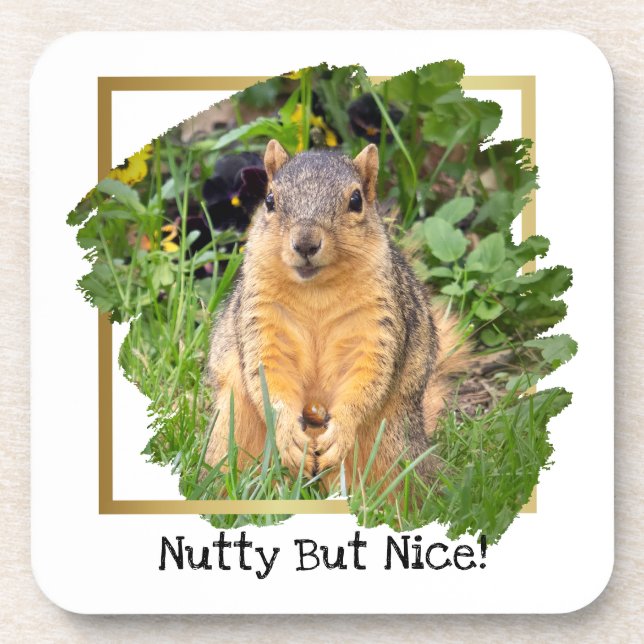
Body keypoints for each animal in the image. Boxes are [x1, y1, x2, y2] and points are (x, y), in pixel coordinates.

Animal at [204, 139, 469, 488]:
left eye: (356, 201)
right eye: (270, 200)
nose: (305, 243)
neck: (316, 292)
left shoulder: (377, 322)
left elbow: (367, 376)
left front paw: (341, 429)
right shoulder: (262, 319)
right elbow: (268, 376)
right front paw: (287, 433)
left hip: (390, 448)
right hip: (234, 430)